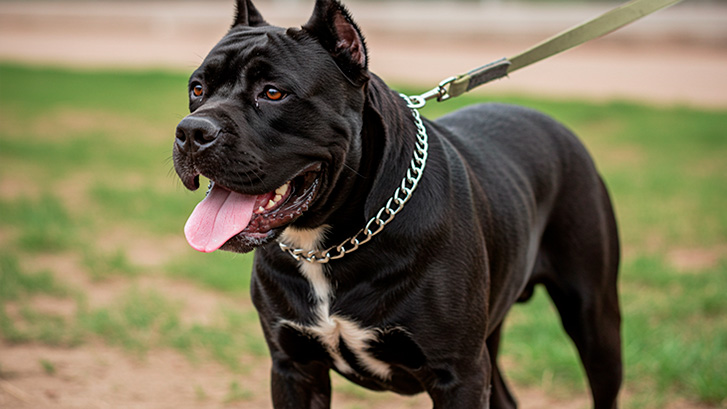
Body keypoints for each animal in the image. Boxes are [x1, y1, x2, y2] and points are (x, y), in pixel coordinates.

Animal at [173, 1, 624, 406]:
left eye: (273, 92)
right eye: (197, 89)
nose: (192, 131)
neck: (327, 246)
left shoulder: (458, 376)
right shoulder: (294, 367)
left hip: (594, 320)